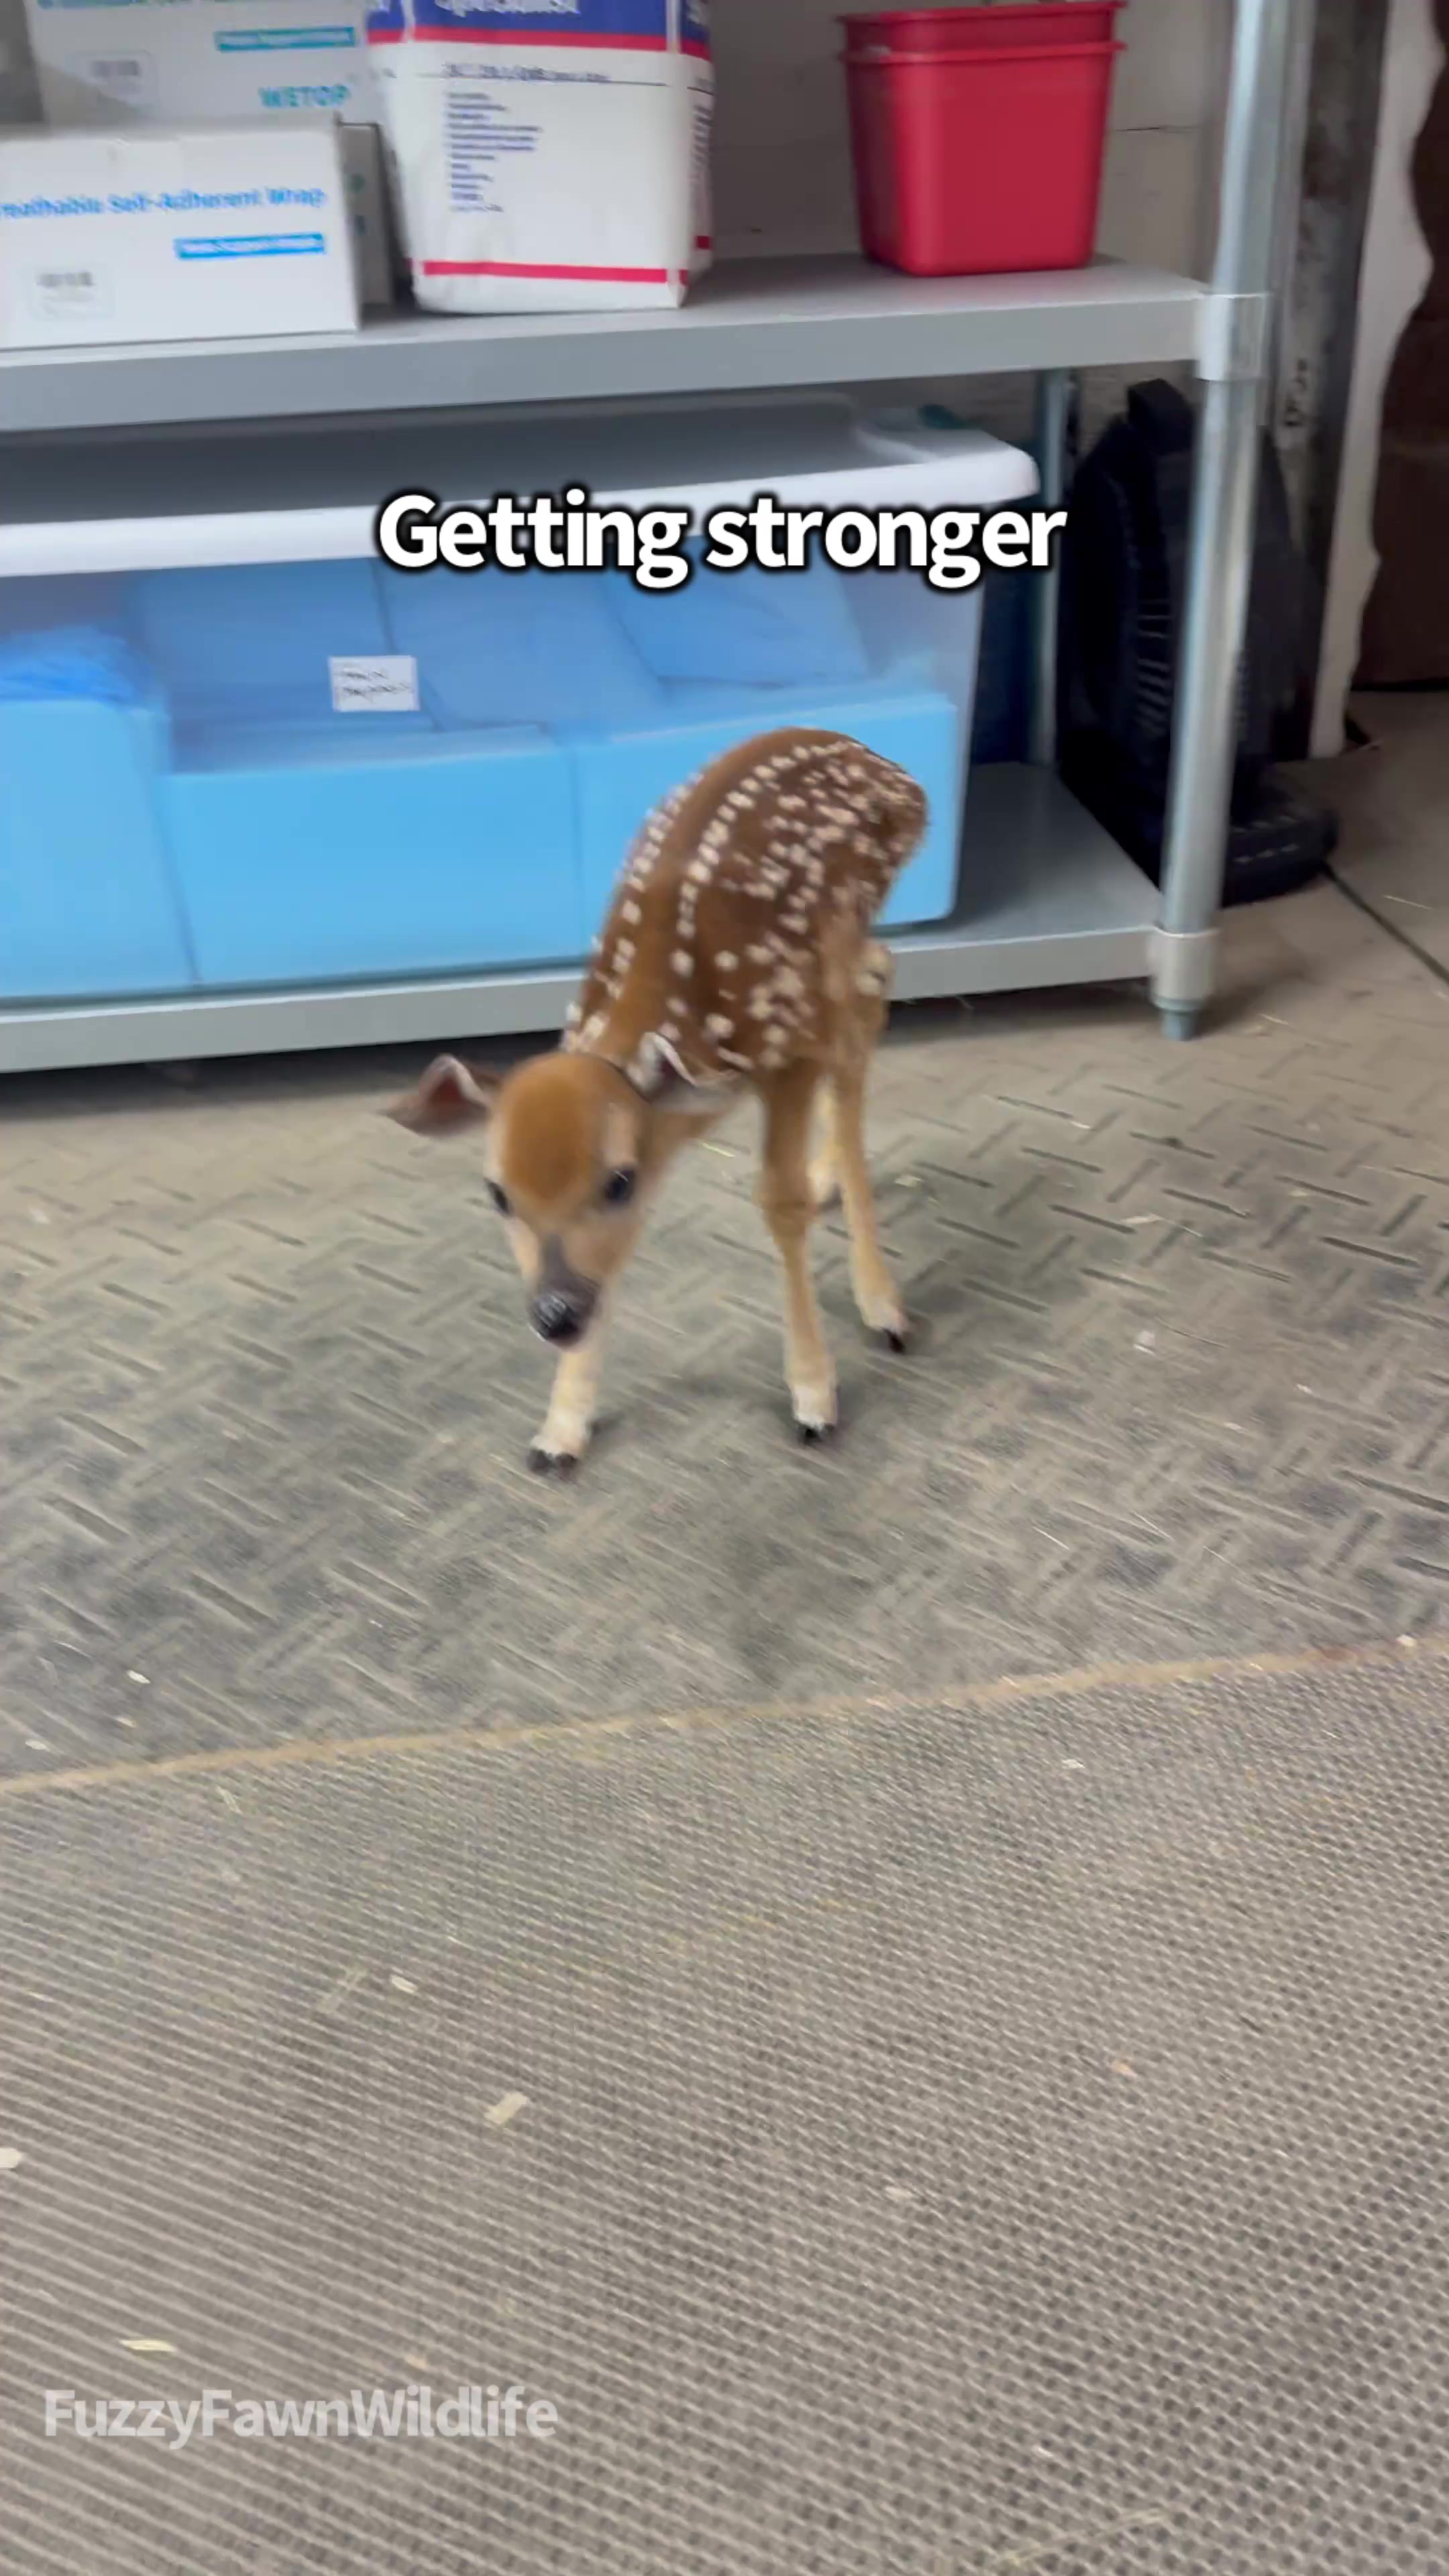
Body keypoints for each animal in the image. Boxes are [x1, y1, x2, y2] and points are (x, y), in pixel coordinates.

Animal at [388, 726, 926, 1473]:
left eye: (617, 1180)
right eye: (496, 1193)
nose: (555, 1315)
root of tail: (886, 766)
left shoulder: (789, 1050)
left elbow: (779, 1203)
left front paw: (815, 1396)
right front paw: (561, 1428)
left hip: (839, 940)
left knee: (862, 1021)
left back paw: (881, 1303)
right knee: (878, 978)